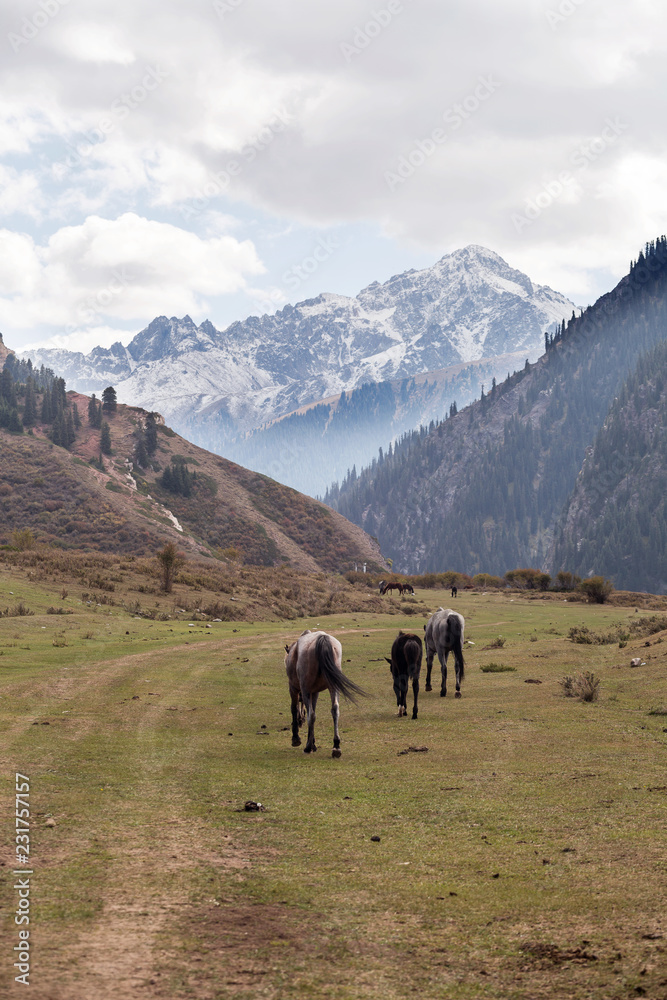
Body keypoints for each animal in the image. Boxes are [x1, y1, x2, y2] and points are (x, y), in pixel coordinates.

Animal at [284, 628, 366, 760]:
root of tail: (322, 638)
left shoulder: (294, 688)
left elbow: (294, 709)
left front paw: (297, 739)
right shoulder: (315, 692)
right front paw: (313, 743)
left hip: (305, 690)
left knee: (311, 715)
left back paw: (307, 748)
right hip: (333, 687)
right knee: (335, 710)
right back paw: (336, 746)